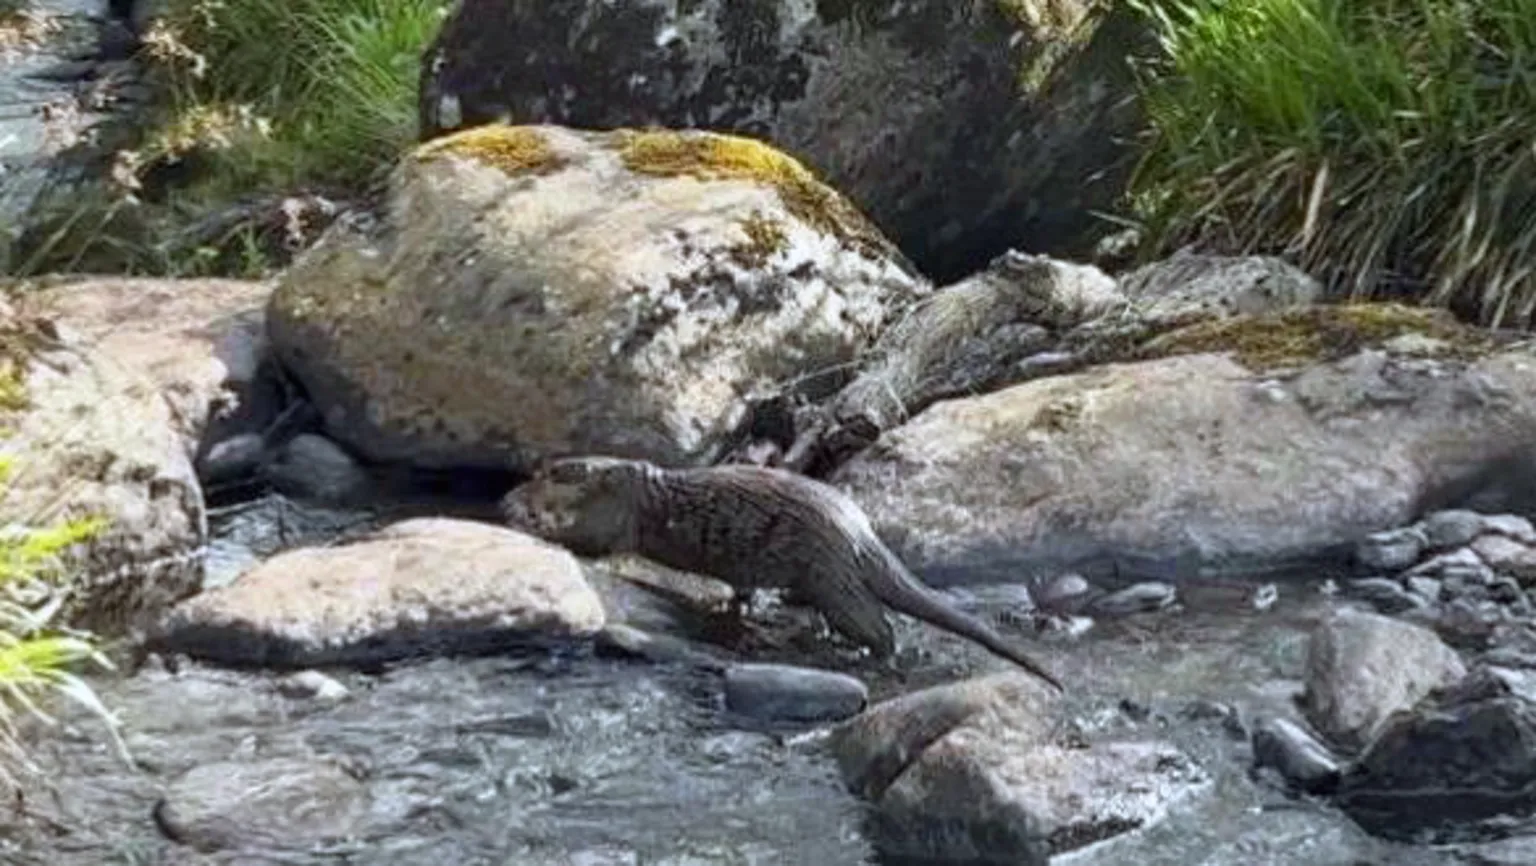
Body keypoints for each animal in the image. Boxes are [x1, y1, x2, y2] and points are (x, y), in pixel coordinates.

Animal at [501, 456, 1063, 691]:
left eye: (538, 481)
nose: (506, 500)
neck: (626, 488)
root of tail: (860, 531)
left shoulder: (617, 516)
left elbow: (597, 542)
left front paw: (541, 528)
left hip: (830, 575)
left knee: (878, 626)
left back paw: (880, 656)